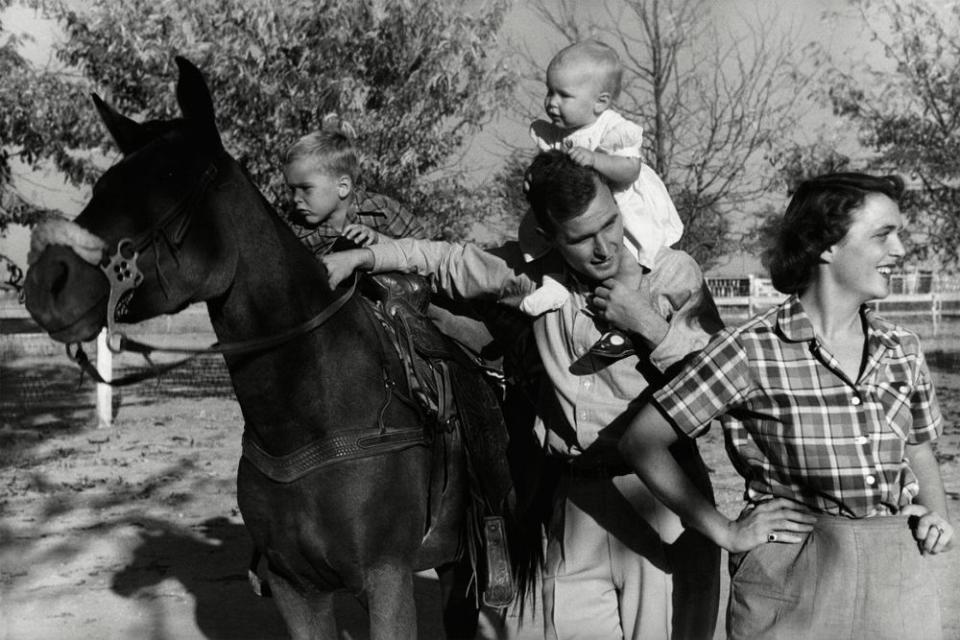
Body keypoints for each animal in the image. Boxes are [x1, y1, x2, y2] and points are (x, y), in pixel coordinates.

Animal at [22, 57, 516, 636]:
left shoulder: (387, 579)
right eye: (103, 185)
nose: (47, 282)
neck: (314, 412)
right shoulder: (294, 587)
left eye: (169, 183)